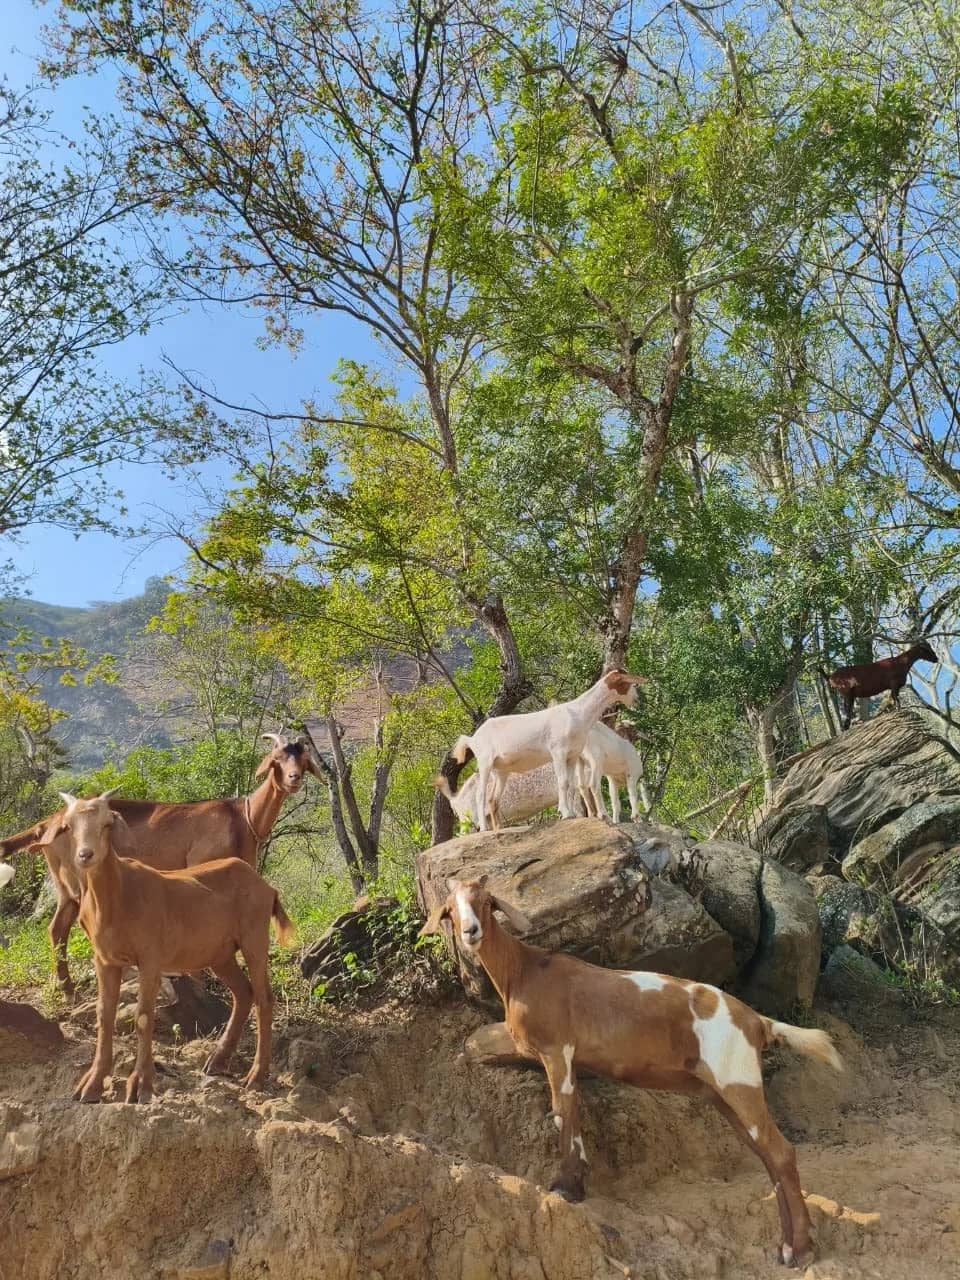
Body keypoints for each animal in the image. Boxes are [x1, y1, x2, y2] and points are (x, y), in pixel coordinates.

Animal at [0, 732, 317, 994]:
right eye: (276, 759)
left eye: (302, 758)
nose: (293, 779)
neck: (240, 818)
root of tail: (49, 823)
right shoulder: (199, 865)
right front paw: (198, 980)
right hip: (77, 879)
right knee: (63, 926)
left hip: (65, 884)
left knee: (56, 928)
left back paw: (66, 987)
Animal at [51, 790, 294, 1103]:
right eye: (69, 826)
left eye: (106, 823)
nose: (85, 855)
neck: (119, 896)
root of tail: (266, 887)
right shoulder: (105, 960)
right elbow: (104, 1016)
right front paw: (90, 1086)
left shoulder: (150, 958)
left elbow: (144, 1016)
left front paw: (141, 1085)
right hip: (220, 954)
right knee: (243, 992)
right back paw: (217, 1060)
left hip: (254, 939)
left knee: (264, 998)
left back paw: (256, 1076)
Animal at [421, 877, 842, 1268]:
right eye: (450, 910)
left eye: (485, 902)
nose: (471, 931)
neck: (524, 971)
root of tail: (757, 1021)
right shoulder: (566, 1057)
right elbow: (573, 1114)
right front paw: (576, 1183)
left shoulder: (558, 1050)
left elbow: (563, 1113)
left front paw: (565, 1187)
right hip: (722, 1094)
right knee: (768, 1157)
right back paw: (789, 1245)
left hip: (738, 1081)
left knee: (782, 1153)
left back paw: (798, 1248)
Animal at [448, 671, 647, 832]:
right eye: (629, 682)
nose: (637, 700)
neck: (577, 712)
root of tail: (472, 739)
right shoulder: (558, 752)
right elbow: (563, 782)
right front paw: (566, 813)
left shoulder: (573, 756)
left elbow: (572, 785)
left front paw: (572, 814)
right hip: (484, 763)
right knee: (481, 795)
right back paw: (483, 828)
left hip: (500, 771)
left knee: (492, 799)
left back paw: (498, 829)